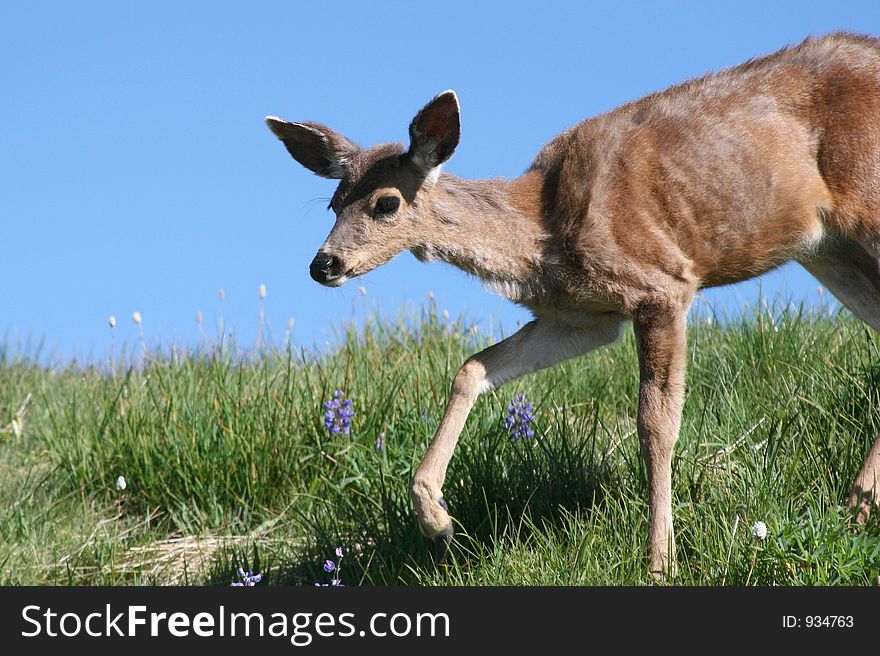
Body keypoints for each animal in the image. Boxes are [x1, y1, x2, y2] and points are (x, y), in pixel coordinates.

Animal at [264, 32, 880, 576]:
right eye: (333, 203)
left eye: (387, 203)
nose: (324, 265)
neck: (547, 231)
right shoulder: (584, 316)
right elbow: (473, 368)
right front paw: (436, 519)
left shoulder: (663, 284)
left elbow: (655, 424)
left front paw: (660, 560)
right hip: (826, 247)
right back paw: (857, 503)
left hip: (863, 210)